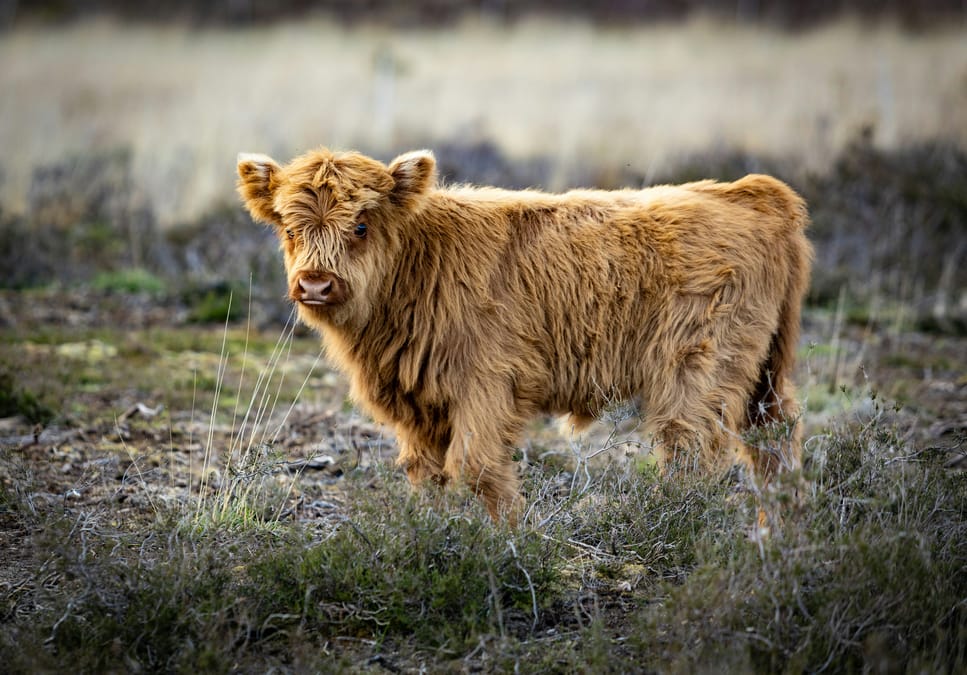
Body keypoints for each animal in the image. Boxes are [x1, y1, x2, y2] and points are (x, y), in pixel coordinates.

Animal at [237, 147, 812, 523]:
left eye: (360, 226)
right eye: (289, 228)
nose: (315, 283)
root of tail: (748, 191)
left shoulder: (487, 384)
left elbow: (475, 467)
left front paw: (509, 539)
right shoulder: (418, 403)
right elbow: (425, 473)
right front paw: (431, 533)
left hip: (698, 367)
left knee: (692, 448)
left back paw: (675, 523)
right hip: (765, 370)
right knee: (775, 435)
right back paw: (781, 528)